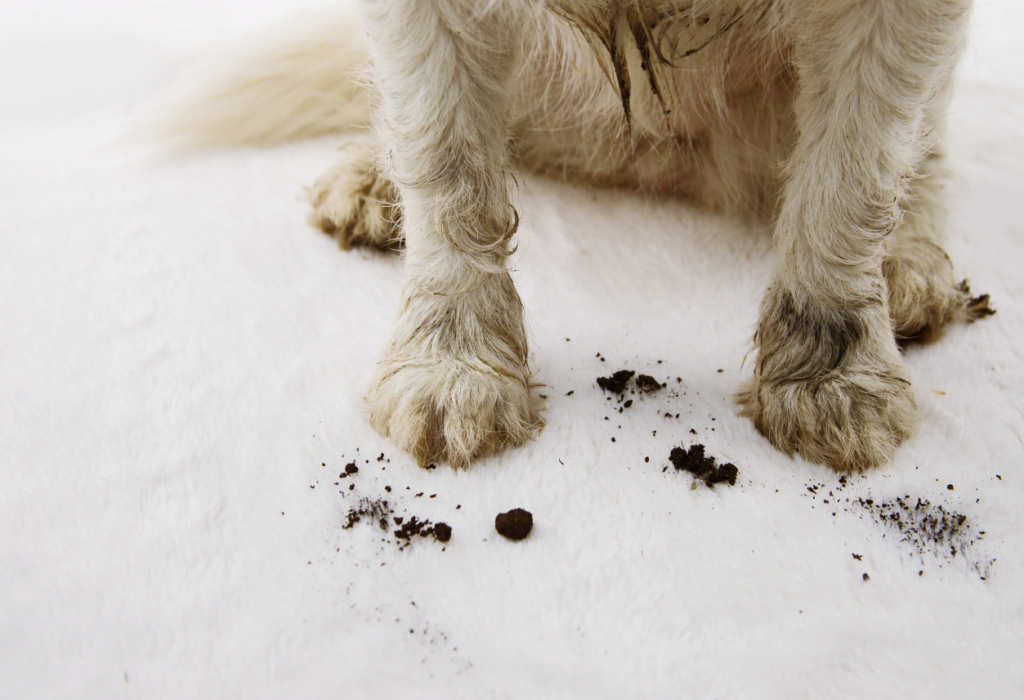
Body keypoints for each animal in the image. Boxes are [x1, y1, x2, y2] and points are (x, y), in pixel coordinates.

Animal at [151, 0, 991, 472]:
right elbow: (444, 157)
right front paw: (452, 364)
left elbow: (853, 172)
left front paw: (833, 377)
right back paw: (371, 179)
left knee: (924, 145)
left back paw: (909, 265)